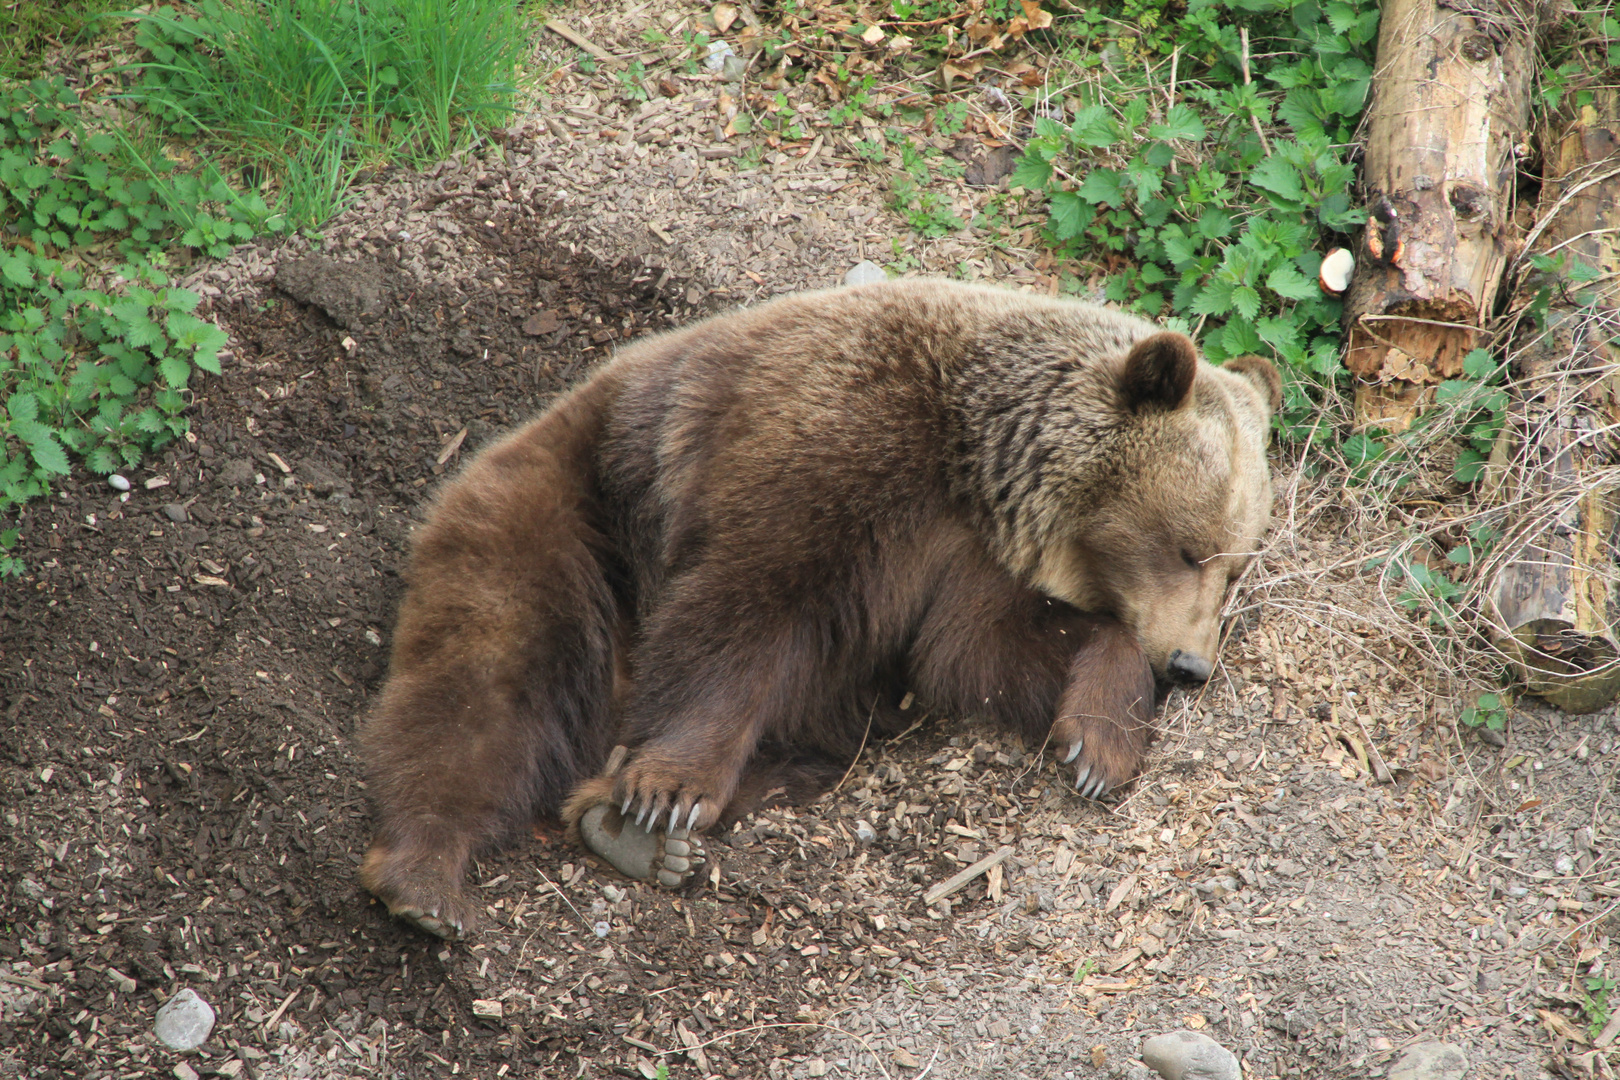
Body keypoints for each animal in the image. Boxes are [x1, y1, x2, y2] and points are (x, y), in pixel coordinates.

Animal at [358, 278, 1276, 939]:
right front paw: (670, 785)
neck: (978, 468)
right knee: (487, 687)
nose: (1191, 665)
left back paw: (622, 828)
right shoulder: (835, 446)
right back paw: (428, 876)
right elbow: (746, 605)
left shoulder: (966, 565)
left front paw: (1098, 744)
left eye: (1236, 565)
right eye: (1189, 548)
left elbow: (976, 653)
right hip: (573, 517)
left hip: (820, 700)